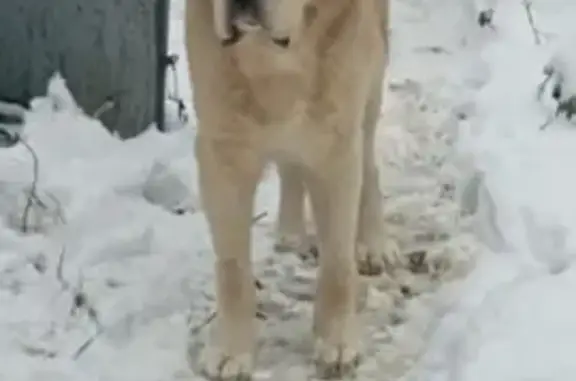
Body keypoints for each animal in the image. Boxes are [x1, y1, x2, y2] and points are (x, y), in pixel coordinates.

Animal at [187, 0, 390, 378]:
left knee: (370, 164)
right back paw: (292, 233)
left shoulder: (337, 146)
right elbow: (232, 269)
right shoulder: (221, 154)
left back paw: (373, 245)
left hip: (370, 89)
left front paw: (336, 342)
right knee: (291, 165)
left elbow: (337, 265)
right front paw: (231, 350)